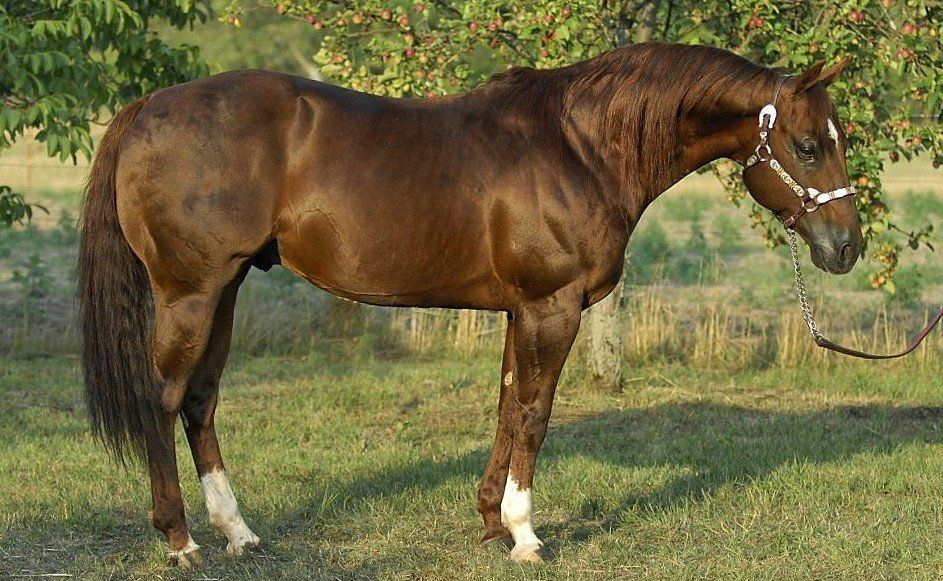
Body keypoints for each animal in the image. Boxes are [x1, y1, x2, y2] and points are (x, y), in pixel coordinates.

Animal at [78, 42, 862, 566]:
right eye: (807, 145)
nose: (846, 247)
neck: (577, 146)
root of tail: (148, 107)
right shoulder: (553, 306)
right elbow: (535, 414)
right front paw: (525, 533)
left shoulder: (523, 309)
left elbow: (508, 404)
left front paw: (490, 521)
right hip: (190, 293)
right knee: (161, 398)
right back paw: (180, 539)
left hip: (228, 288)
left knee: (200, 400)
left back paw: (237, 531)